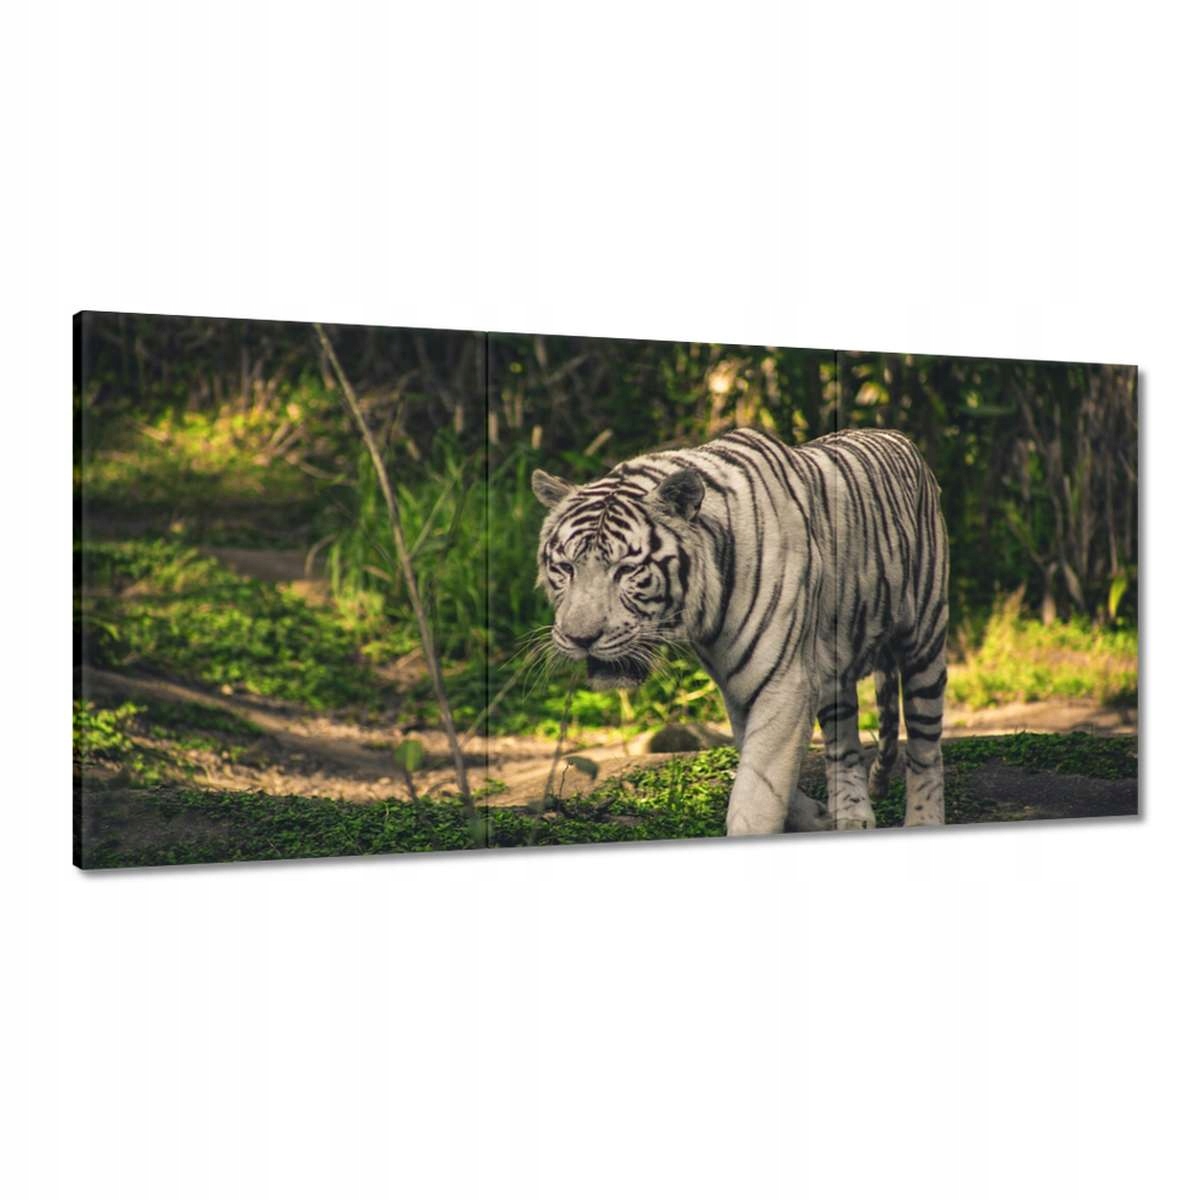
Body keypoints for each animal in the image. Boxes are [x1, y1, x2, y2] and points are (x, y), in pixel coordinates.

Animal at [531, 425, 950, 836]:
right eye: (565, 568)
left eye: (627, 570)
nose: (581, 639)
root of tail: (899, 436)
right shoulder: (742, 687)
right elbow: (763, 767)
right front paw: (814, 815)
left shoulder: (784, 680)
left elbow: (758, 791)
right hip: (837, 675)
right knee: (844, 747)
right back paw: (850, 817)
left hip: (925, 645)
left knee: (925, 749)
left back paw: (923, 820)